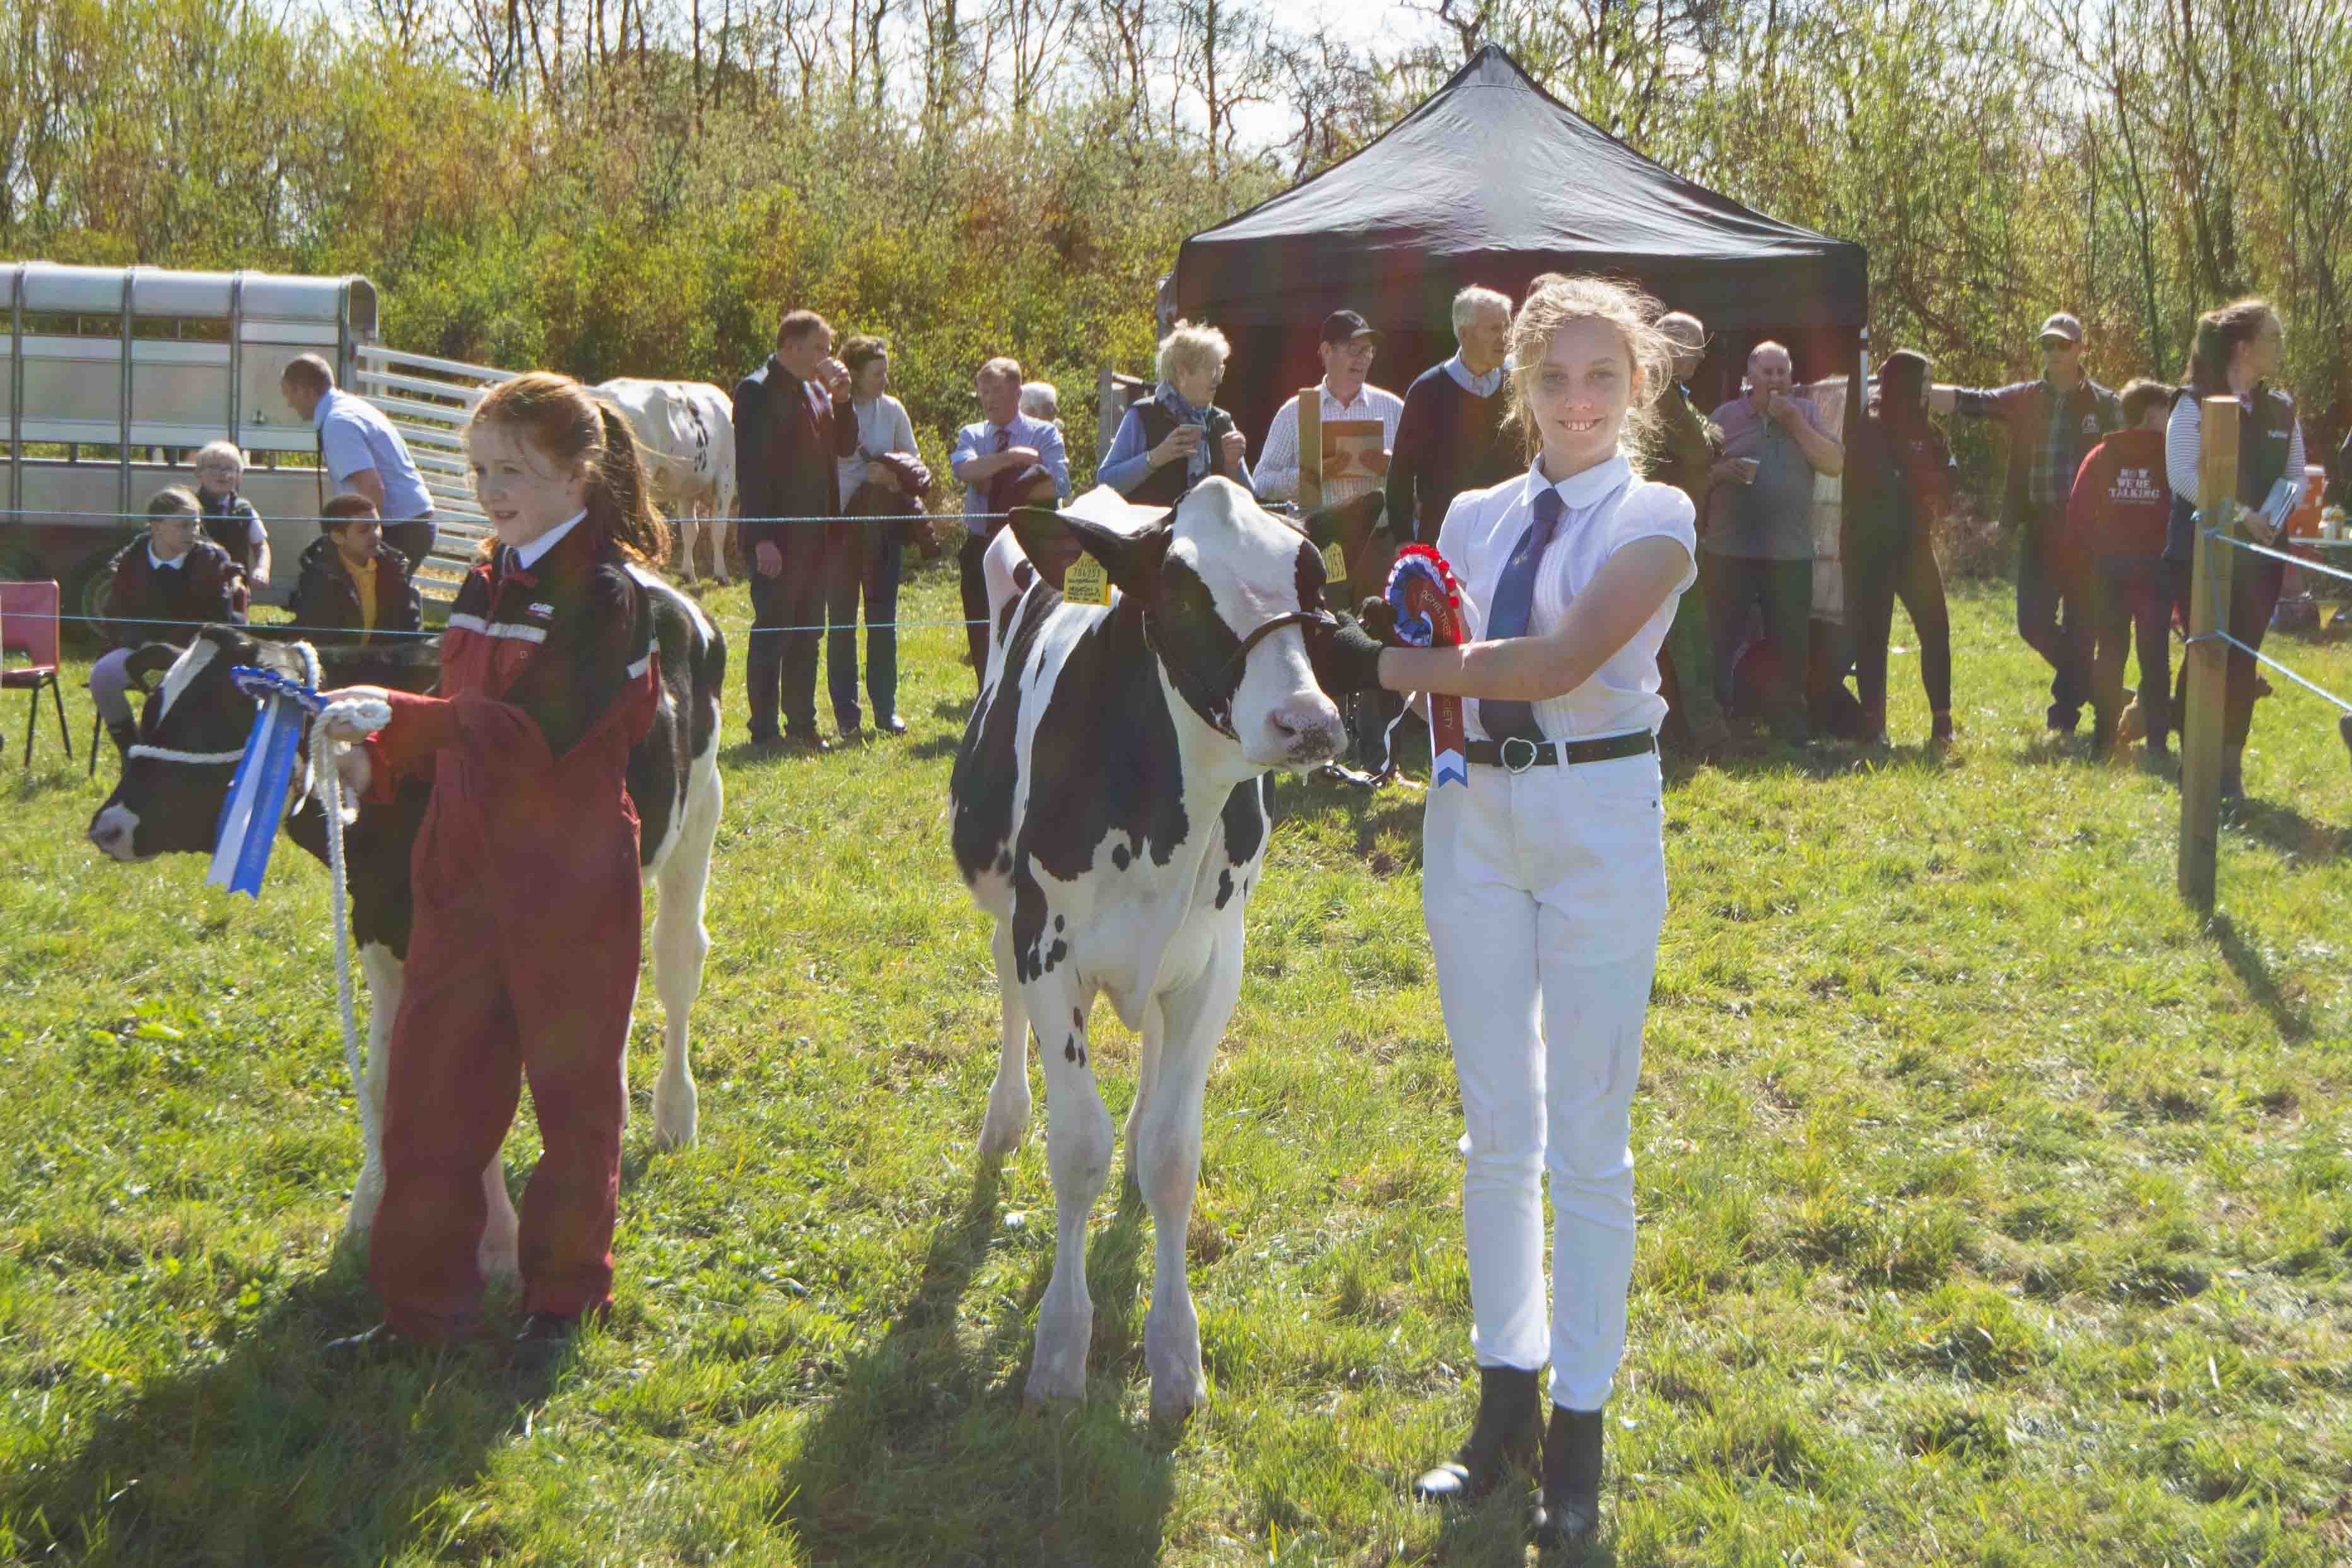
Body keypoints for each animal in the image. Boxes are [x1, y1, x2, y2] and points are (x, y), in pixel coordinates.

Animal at [85, 571, 725, 1281]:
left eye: (210, 716)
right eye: (153, 708)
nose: (108, 826)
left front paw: (496, 1244)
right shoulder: (379, 924)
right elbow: (388, 1075)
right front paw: (369, 1214)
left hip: (700, 811)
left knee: (676, 963)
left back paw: (675, 1117)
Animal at [594, 379, 739, 586]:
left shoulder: (688, 490)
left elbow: (690, 531)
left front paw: (688, 574)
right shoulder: (725, 477)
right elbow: (718, 530)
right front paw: (721, 575)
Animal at [949, 477, 1347, 1422]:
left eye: (1312, 582)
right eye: (1183, 594)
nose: (1308, 723)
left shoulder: (1215, 961)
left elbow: (1173, 1152)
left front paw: (1174, 1354)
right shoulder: (1046, 945)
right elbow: (1075, 1148)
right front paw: (1060, 1350)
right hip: (1001, 895)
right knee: (1004, 988)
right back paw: (1003, 1119)